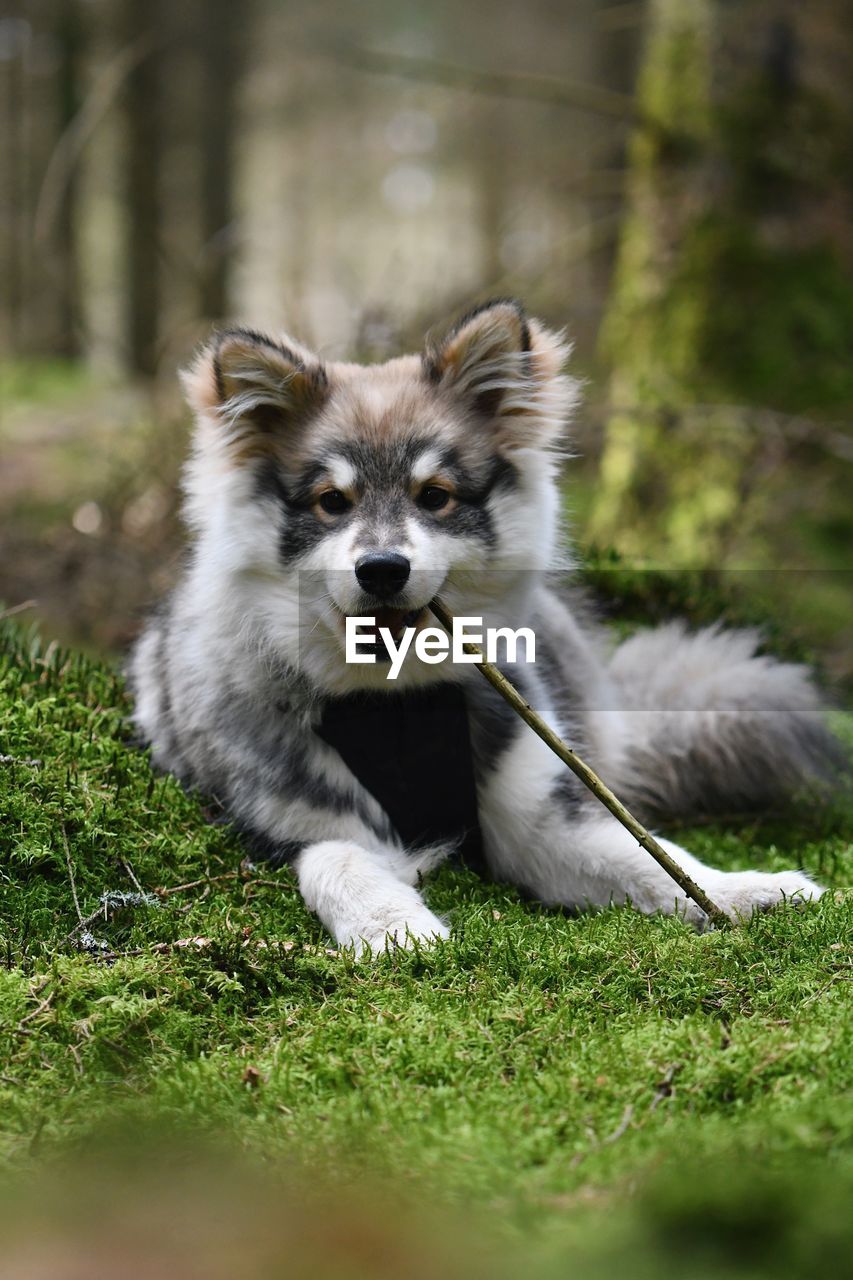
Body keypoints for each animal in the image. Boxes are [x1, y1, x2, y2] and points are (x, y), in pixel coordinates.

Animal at [128, 299, 835, 957]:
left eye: (435, 496)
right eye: (332, 502)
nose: (382, 570)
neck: (399, 705)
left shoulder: (538, 826)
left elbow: (652, 858)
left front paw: (743, 890)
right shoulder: (296, 828)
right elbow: (339, 861)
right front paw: (394, 927)